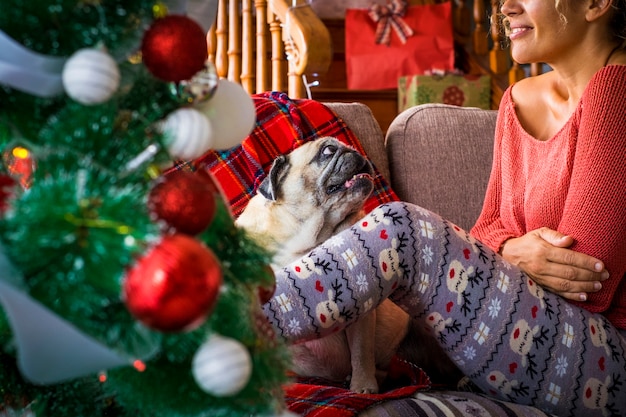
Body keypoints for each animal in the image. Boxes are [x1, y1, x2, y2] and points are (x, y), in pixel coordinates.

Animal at [234, 137, 458, 394]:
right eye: (328, 150)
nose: (355, 152)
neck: (304, 242)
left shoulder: (361, 309)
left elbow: (361, 352)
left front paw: (363, 386)